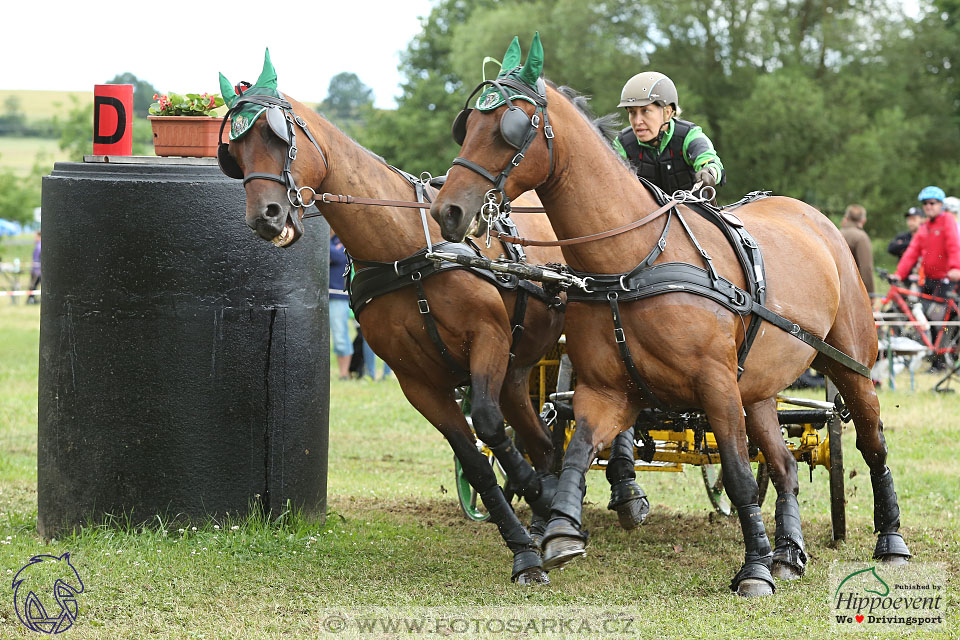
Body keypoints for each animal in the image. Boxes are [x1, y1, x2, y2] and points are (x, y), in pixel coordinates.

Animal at [217, 55, 568, 584]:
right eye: (234, 152)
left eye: (277, 137)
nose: (266, 216)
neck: (405, 251)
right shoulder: (416, 381)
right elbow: (476, 461)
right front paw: (524, 545)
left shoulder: (488, 337)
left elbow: (488, 425)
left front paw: (540, 501)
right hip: (517, 370)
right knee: (541, 441)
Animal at [432, 33, 912, 596]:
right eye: (467, 125)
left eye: (511, 128)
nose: (447, 211)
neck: (634, 261)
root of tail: (816, 219)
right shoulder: (606, 389)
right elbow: (577, 450)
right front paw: (562, 528)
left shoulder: (716, 385)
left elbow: (737, 474)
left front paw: (751, 570)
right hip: (760, 388)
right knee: (784, 464)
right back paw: (788, 553)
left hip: (849, 365)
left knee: (871, 445)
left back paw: (890, 541)